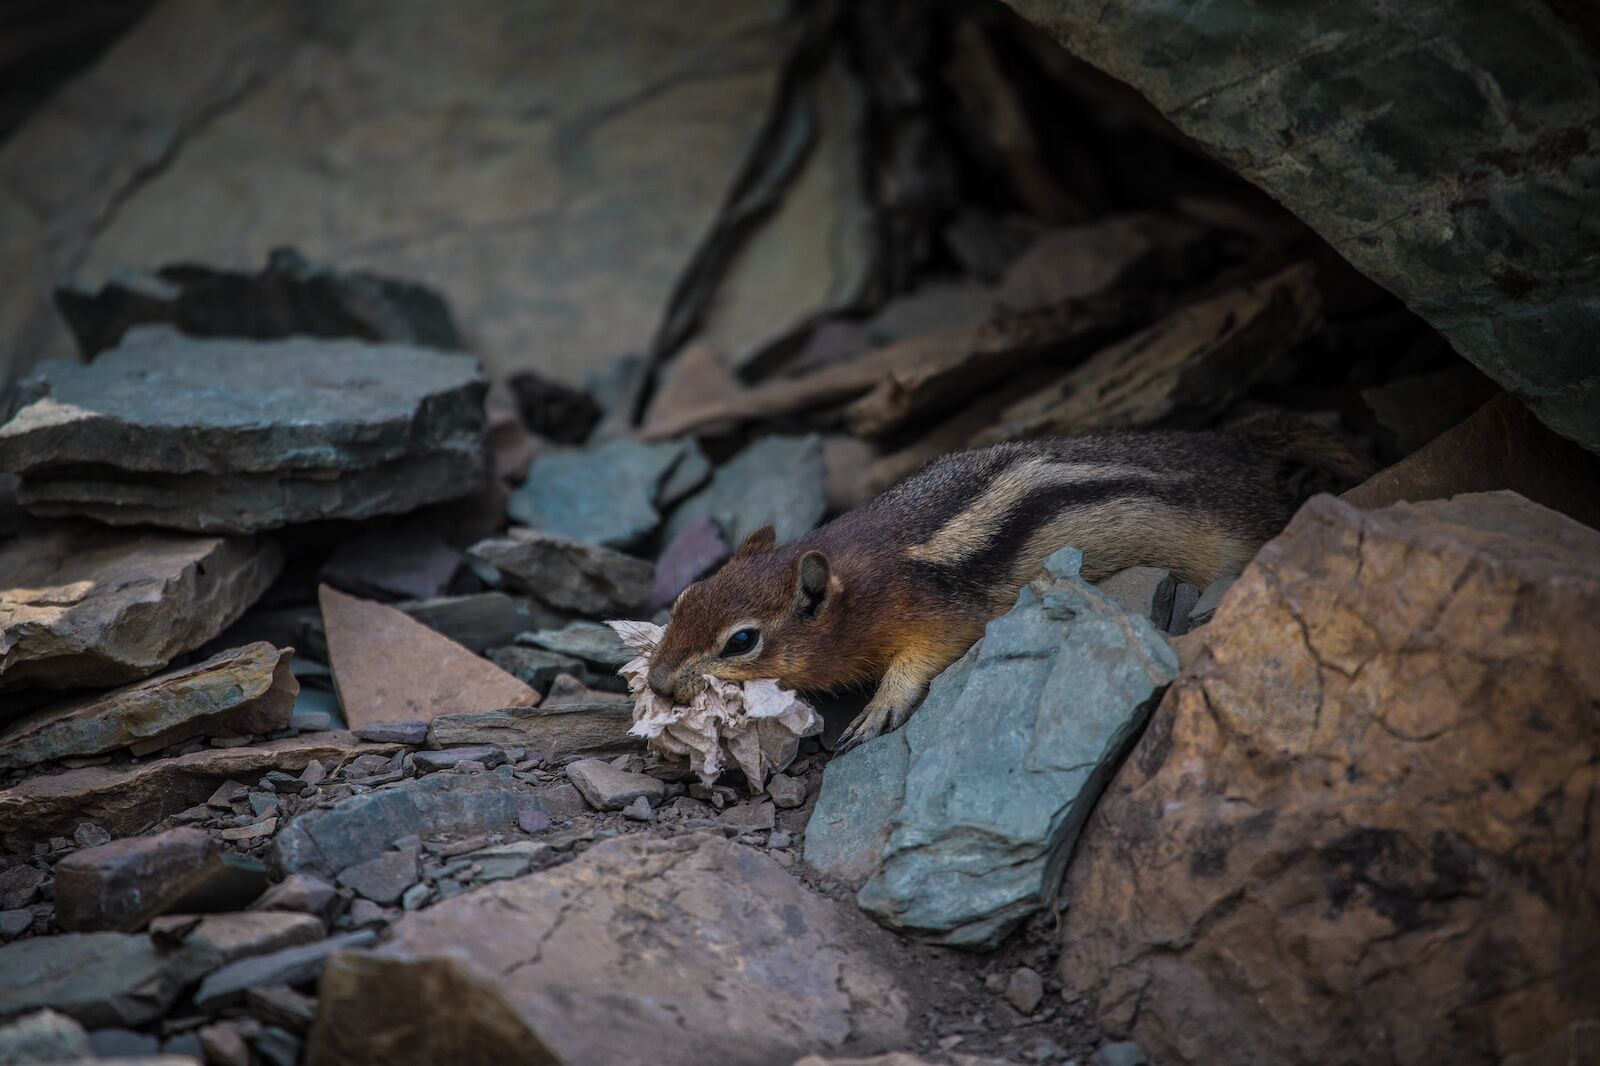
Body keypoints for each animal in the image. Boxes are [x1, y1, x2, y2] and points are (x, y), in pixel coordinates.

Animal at [648, 420, 1371, 754]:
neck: (859, 573)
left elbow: (923, 660)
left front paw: (879, 707)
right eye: (683, 600)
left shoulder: (933, 613)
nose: (655, 682)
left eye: (741, 641)